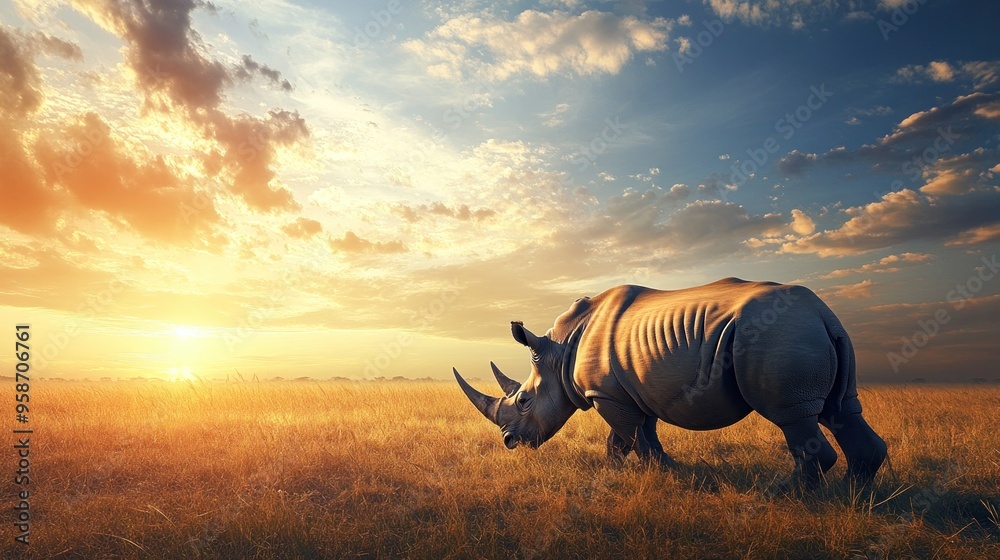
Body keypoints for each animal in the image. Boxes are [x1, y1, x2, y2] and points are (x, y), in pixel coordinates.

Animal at [453, 278, 887, 486]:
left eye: (524, 400)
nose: (510, 442)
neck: (559, 353)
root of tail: (824, 314)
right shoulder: (633, 390)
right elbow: (637, 435)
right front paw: (650, 470)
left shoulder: (606, 394)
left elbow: (630, 439)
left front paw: (651, 473)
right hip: (813, 332)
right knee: (840, 410)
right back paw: (853, 495)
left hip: (778, 334)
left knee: (793, 415)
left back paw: (784, 495)